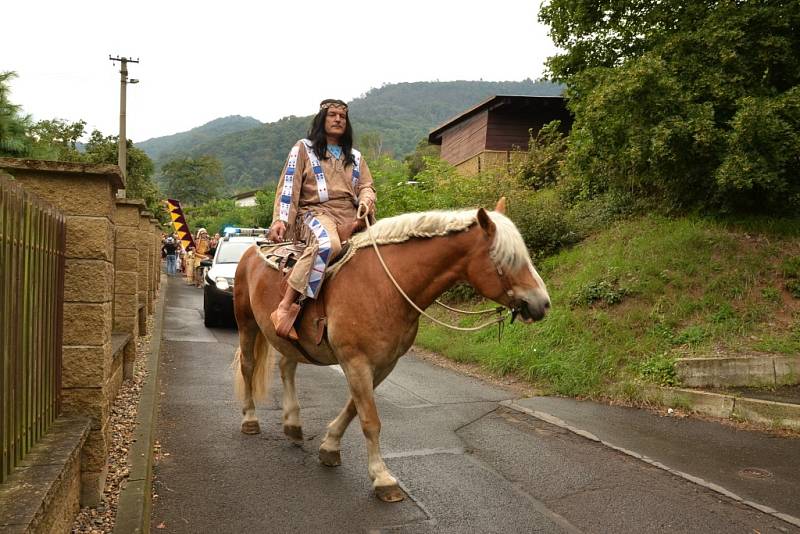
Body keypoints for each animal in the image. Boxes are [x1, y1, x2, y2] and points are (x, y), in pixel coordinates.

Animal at [233, 199, 552, 504]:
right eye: (506, 259)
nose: (542, 304)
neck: (384, 285)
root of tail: (253, 248)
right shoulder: (356, 362)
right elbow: (370, 420)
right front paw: (382, 478)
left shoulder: (384, 364)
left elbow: (354, 408)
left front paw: (330, 446)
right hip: (247, 323)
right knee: (248, 366)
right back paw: (249, 420)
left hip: (290, 341)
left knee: (286, 368)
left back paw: (292, 424)